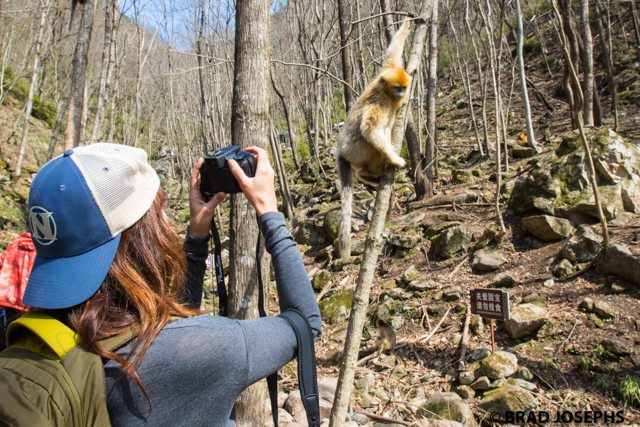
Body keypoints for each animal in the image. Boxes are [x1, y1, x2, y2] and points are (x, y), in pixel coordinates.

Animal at [338, 21, 412, 262]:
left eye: (403, 87)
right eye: (396, 87)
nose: (401, 94)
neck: (387, 94)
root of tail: (339, 151)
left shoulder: (385, 70)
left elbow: (392, 53)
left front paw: (408, 23)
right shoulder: (379, 102)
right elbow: (369, 129)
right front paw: (396, 160)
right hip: (356, 150)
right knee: (373, 139)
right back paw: (369, 174)